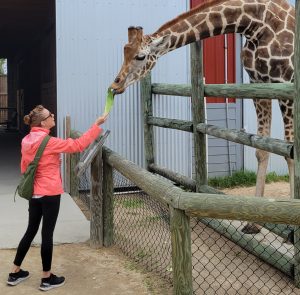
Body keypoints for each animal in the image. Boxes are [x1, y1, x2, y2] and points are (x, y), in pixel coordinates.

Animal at [109, 0, 296, 235]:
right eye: (124, 52)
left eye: (140, 56)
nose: (115, 85)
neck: (255, 23)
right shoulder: (258, 83)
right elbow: (262, 150)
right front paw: (253, 224)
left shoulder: (285, 81)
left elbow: (290, 153)